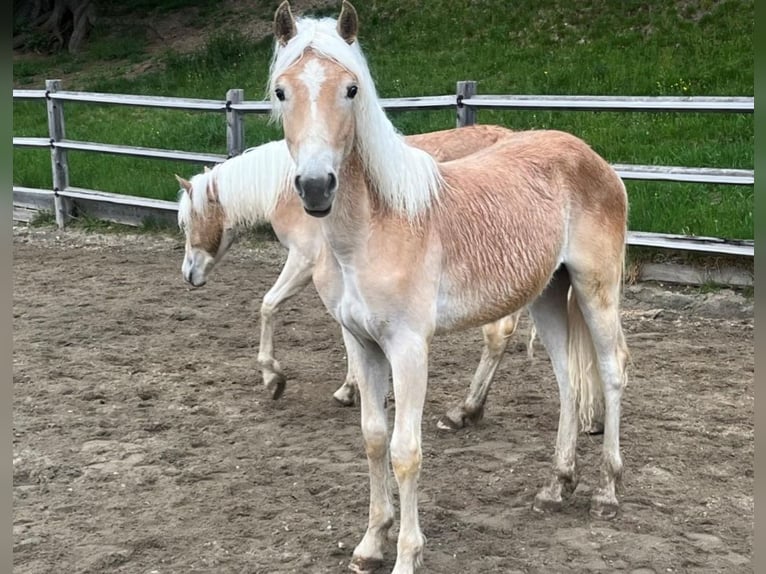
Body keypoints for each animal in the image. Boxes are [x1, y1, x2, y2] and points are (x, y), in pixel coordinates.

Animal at [178, 126, 540, 430]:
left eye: (186, 222)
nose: (188, 274)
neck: (289, 189)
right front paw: (352, 387)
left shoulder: (304, 260)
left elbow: (269, 306)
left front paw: (274, 377)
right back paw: (471, 409)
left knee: (496, 335)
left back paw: (463, 411)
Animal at [270, 2, 632, 572]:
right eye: (282, 91)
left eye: (351, 89)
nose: (315, 186)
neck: (375, 226)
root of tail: (592, 157)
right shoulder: (362, 343)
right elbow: (374, 439)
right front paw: (370, 543)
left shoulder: (408, 347)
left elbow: (405, 451)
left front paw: (406, 554)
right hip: (550, 294)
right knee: (567, 383)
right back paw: (556, 485)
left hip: (597, 289)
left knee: (613, 369)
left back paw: (607, 493)